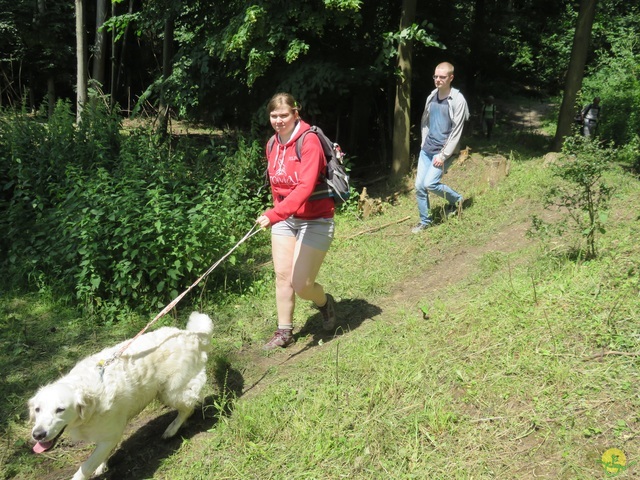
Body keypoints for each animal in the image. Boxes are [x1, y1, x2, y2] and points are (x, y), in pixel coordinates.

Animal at [27, 312, 214, 480]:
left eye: (60, 409)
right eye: (37, 409)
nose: (38, 435)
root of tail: (191, 335)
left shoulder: (110, 435)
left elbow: (86, 467)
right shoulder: (107, 435)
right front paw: (102, 465)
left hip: (170, 392)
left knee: (188, 408)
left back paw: (171, 429)